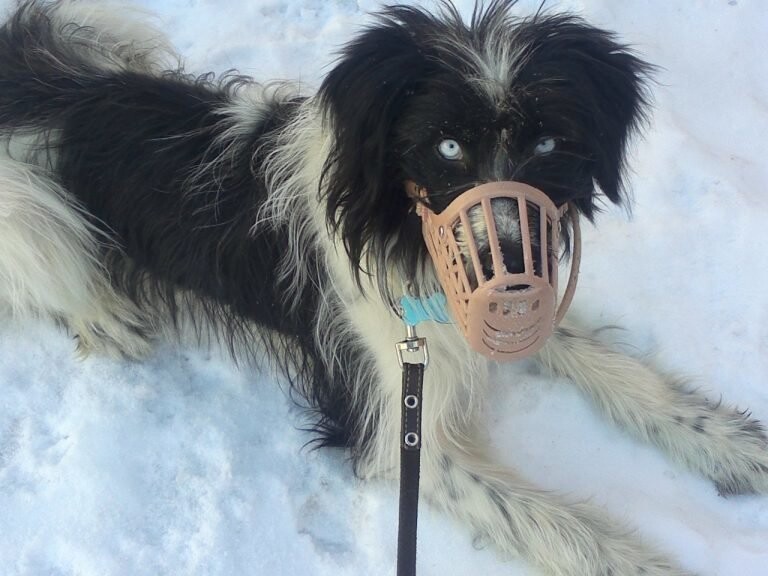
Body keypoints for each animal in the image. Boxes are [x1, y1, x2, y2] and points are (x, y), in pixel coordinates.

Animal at [1, 1, 768, 576]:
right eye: (447, 146)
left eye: (549, 144)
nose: (510, 266)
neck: (402, 235)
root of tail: (42, 84)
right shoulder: (392, 426)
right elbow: (558, 526)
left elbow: (624, 374)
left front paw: (734, 443)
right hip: (30, 212)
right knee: (57, 270)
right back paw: (107, 316)